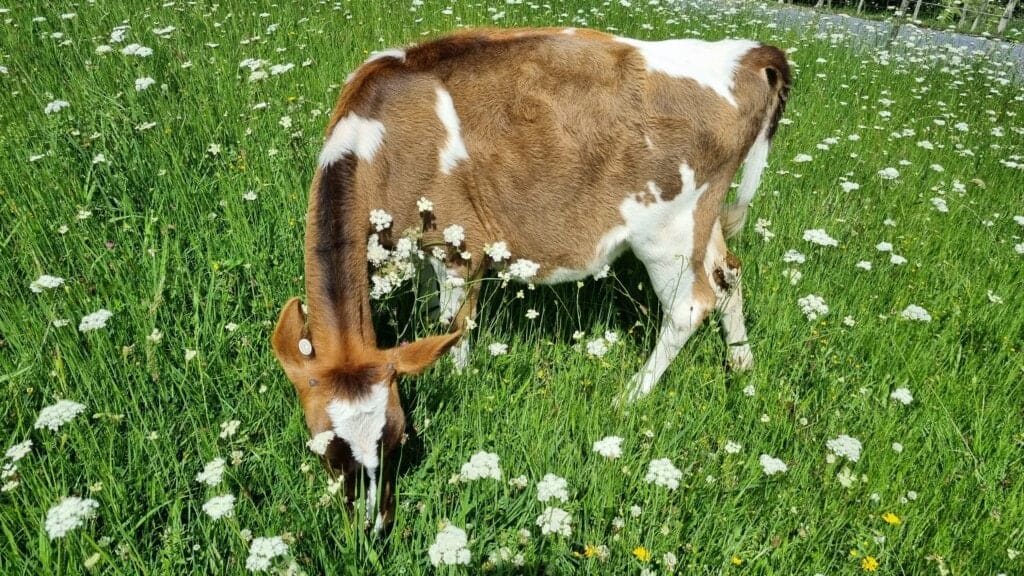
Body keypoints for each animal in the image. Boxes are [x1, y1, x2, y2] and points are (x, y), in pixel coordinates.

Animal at [271, 27, 790, 530]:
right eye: (324, 449)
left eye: (396, 436)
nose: (373, 528)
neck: (377, 135)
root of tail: (748, 54)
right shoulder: (420, 245)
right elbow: (428, 315)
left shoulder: (459, 244)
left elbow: (455, 332)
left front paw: (461, 385)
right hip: (705, 220)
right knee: (728, 277)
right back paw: (742, 366)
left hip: (668, 232)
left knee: (689, 307)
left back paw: (630, 396)